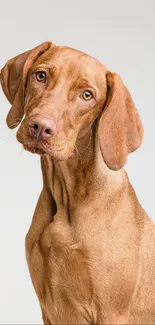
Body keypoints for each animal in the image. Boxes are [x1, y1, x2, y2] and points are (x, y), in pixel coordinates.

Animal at [0, 41, 155, 322]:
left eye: (87, 95)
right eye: (41, 75)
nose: (40, 127)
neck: (67, 200)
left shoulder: (111, 313)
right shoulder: (47, 308)